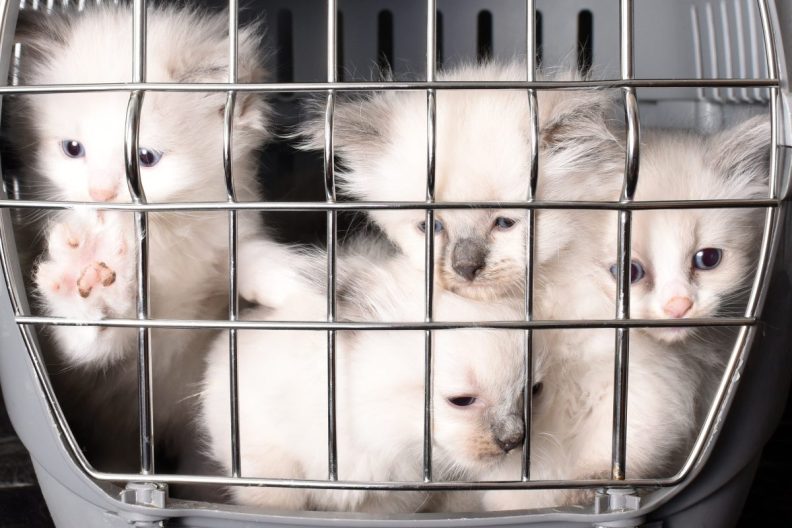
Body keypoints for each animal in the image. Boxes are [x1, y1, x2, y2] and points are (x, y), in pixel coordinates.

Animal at [200, 250, 540, 512]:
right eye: (461, 401)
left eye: (533, 392)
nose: (514, 441)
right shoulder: (259, 444)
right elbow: (276, 497)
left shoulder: (391, 497)